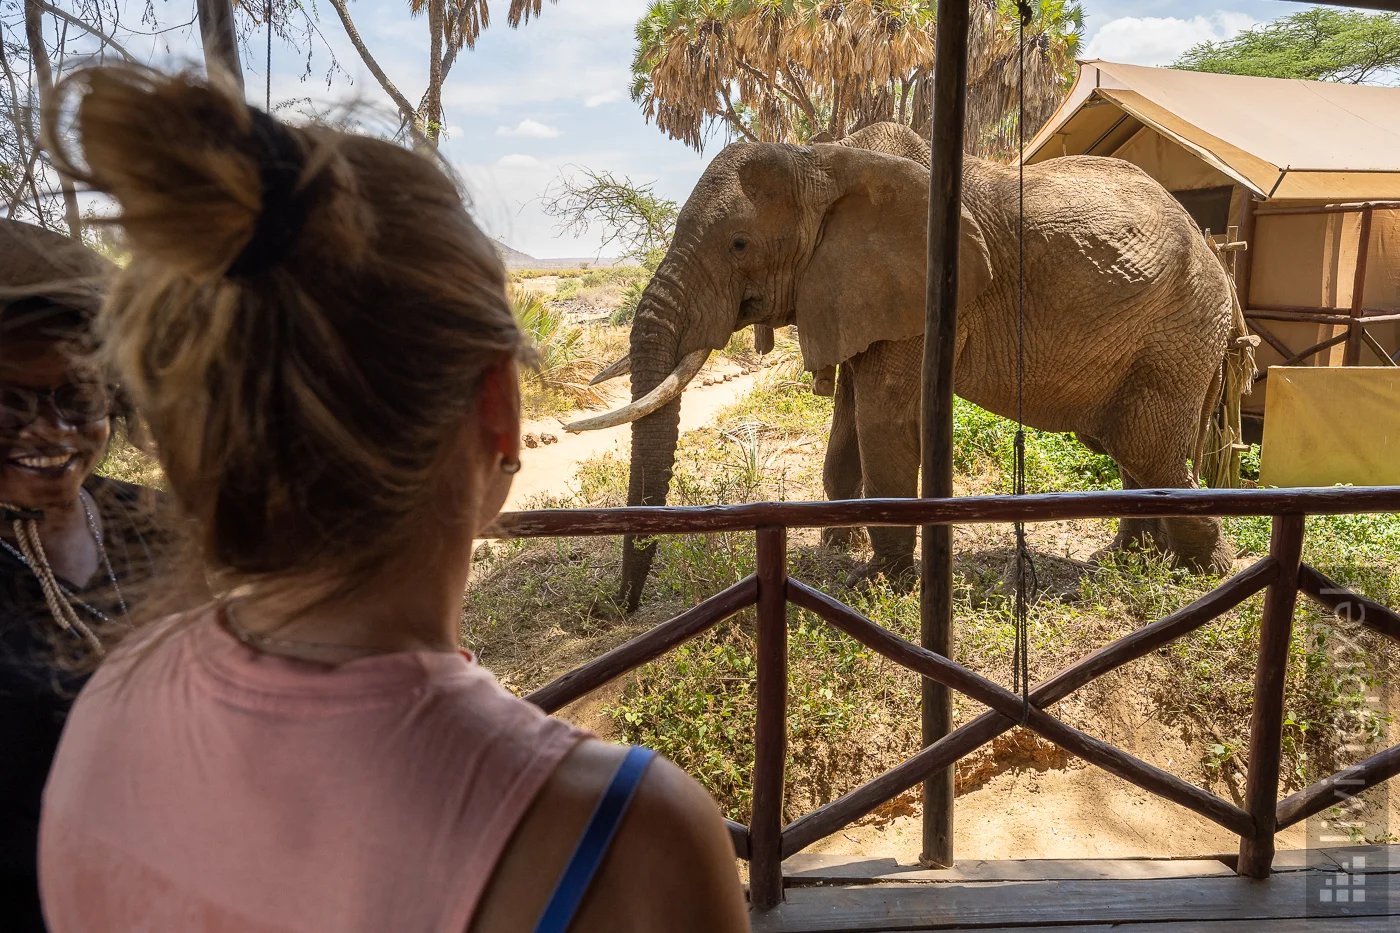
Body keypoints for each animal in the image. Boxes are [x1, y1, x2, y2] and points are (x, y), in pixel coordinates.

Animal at [566, 123, 1247, 611]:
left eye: (738, 244)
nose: (616, 610)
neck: (824, 159)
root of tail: (1218, 256)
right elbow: (847, 418)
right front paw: (836, 546)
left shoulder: (915, 291)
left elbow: (882, 421)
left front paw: (877, 583)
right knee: (1129, 447)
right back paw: (1128, 560)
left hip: (1180, 330)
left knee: (1148, 446)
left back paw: (1202, 572)